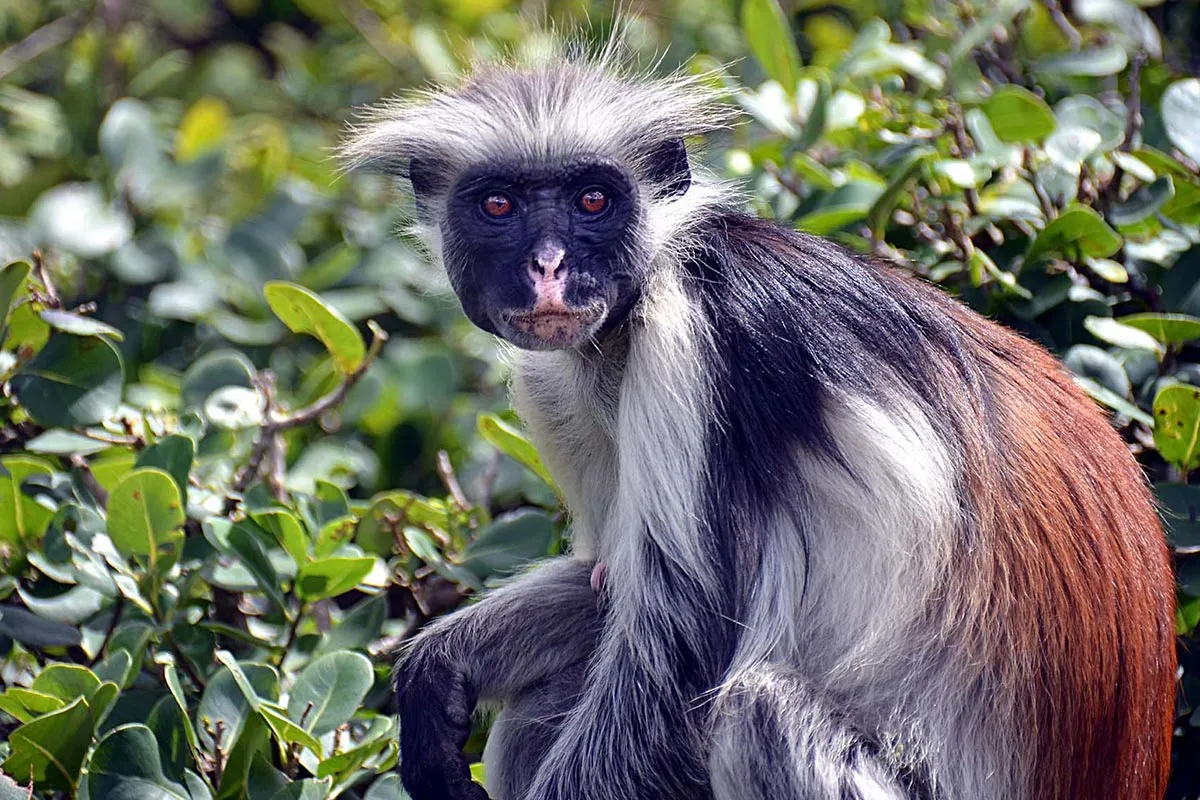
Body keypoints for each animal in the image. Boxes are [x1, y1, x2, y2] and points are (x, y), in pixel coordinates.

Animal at [341, 41, 1176, 800]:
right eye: (498, 206)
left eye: (591, 202)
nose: (549, 269)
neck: (632, 318)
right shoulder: (560, 383)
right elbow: (611, 585)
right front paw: (437, 670)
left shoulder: (696, 340)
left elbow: (679, 666)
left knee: (755, 714)